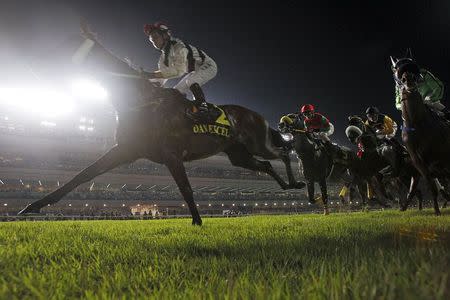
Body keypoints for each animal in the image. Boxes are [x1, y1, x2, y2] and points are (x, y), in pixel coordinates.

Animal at [18, 29, 306, 225]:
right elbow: (83, 175)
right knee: (265, 165)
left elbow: (186, 188)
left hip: (258, 142)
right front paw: (32, 207)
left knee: (282, 152)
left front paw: (197, 221)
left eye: (67, 44)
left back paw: (297, 181)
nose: (33, 63)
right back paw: (287, 186)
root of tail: (256, 114)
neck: (140, 101)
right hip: (238, 155)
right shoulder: (125, 150)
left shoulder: (171, 155)